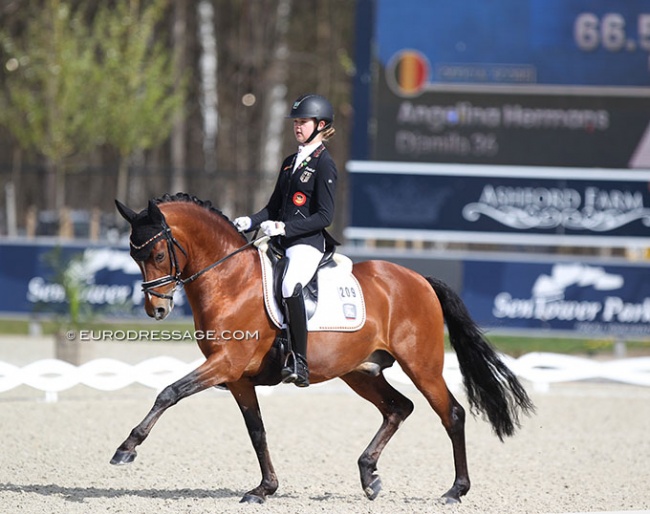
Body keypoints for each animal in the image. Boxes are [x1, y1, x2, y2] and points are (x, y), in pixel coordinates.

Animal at [111, 194, 536, 502]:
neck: (230, 281)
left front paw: (126, 448)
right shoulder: (238, 379)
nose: (157, 309)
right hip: (359, 372)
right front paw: (264, 489)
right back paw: (369, 475)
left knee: (451, 414)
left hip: (422, 366)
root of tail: (419, 279)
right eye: (133, 255)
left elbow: (169, 392)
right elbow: (257, 431)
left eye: (158, 254)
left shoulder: (226, 364)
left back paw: (455, 490)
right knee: (398, 408)